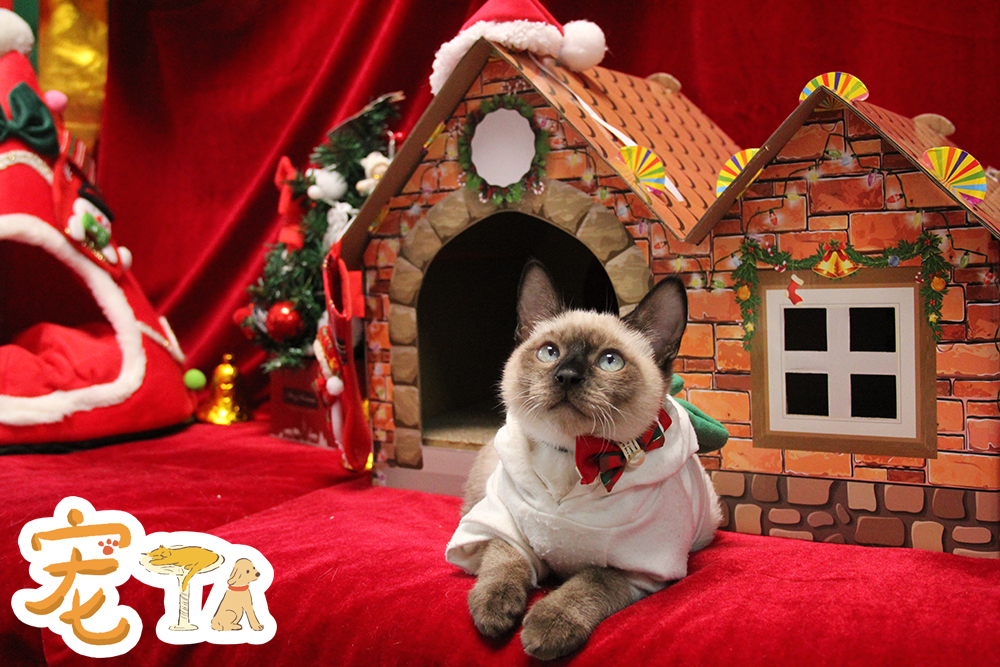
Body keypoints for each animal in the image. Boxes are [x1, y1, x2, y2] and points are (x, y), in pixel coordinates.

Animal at [446, 261, 722, 660]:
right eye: (549, 352)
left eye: (610, 361)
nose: (567, 376)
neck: (572, 456)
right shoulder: (509, 528)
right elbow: (502, 563)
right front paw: (494, 613)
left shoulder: (636, 569)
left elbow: (589, 583)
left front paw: (545, 628)